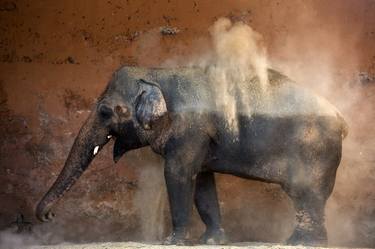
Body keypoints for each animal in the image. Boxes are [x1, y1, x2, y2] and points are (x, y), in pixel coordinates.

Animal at [36, 65, 350, 246]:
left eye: (105, 111)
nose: (49, 216)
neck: (157, 74)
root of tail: (341, 118)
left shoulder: (191, 130)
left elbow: (178, 175)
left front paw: (171, 241)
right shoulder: (201, 139)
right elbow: (201, 182)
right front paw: (211, 241)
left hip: (315, 150)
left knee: (307, 193)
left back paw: (303, 243)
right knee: (305, 197)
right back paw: (298, 240)